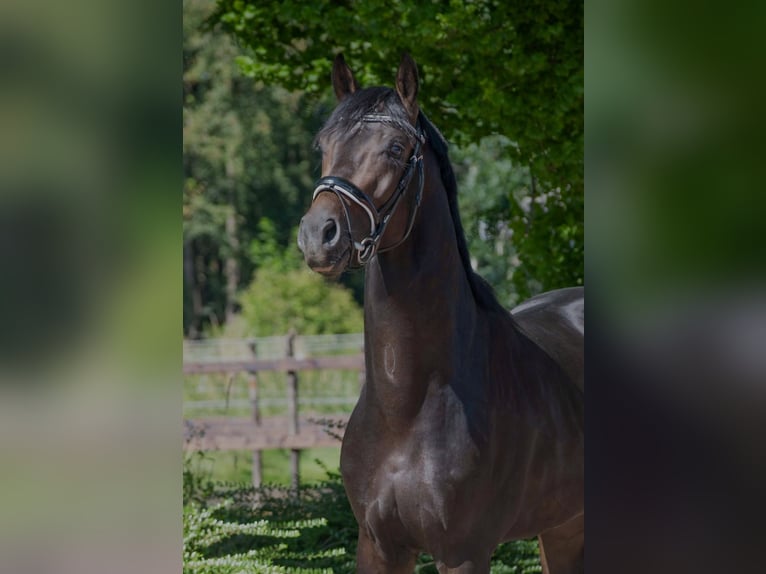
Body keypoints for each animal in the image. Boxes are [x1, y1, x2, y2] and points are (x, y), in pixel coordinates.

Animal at [296, 54, 584, 574]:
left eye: (394, 148)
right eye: (323, 145)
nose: (318, 235)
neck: (406, 407)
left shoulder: (464, 552)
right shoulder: (378, 546)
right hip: (563, 527)